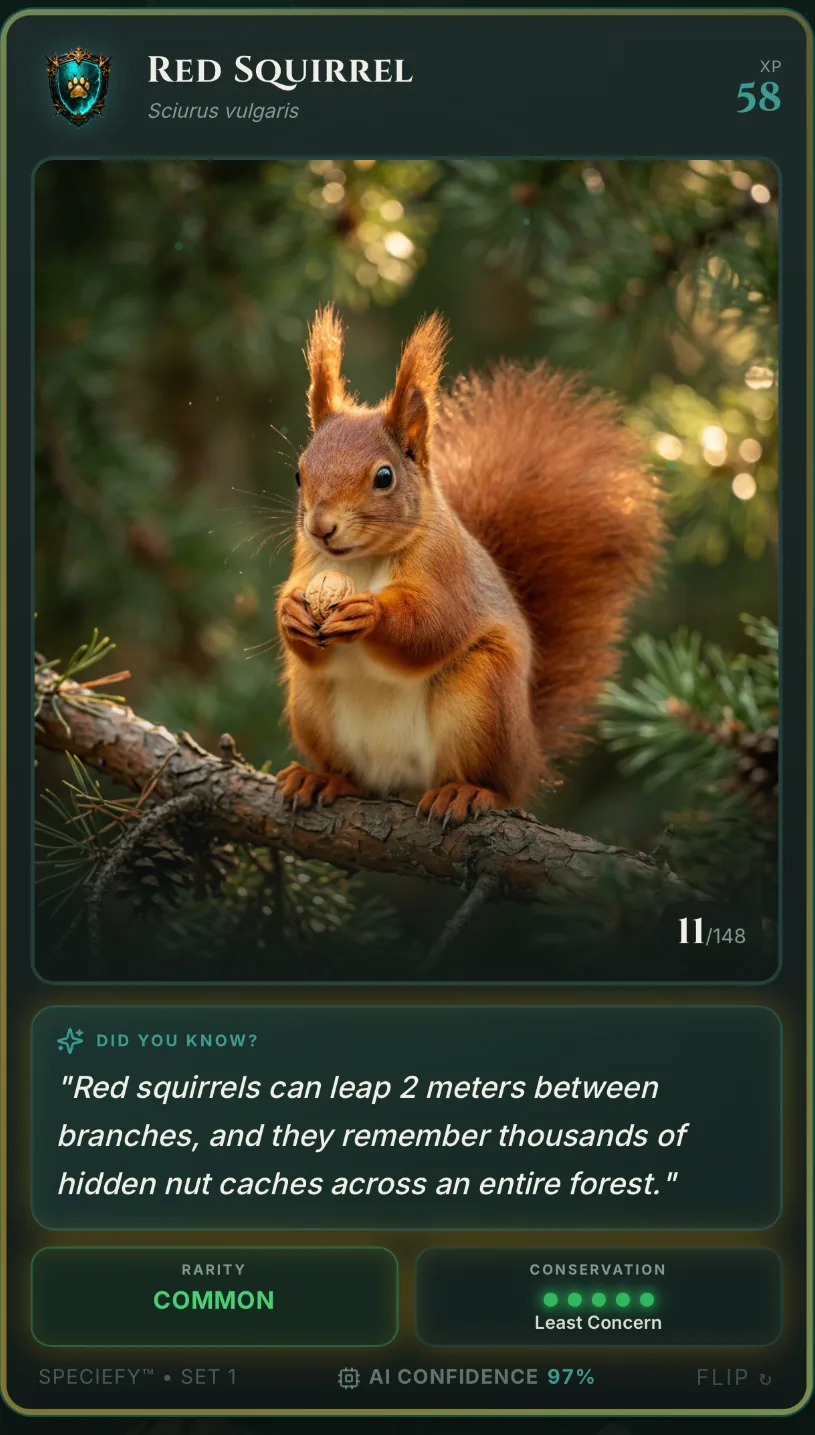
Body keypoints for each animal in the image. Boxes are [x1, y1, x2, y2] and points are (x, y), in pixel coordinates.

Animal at [276, 306, 665, 826]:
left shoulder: (448, 568)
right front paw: (291, 614)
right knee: (352, 771)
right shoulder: (307, 562)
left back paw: (465, 792)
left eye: (384, 477)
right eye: (299, 474)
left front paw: (368, 613)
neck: (361, 561)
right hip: (311, 702)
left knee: (495, 783)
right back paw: (324, 778)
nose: (320, 527)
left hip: (482, 699)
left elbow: (434, 626)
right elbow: (301, 628)